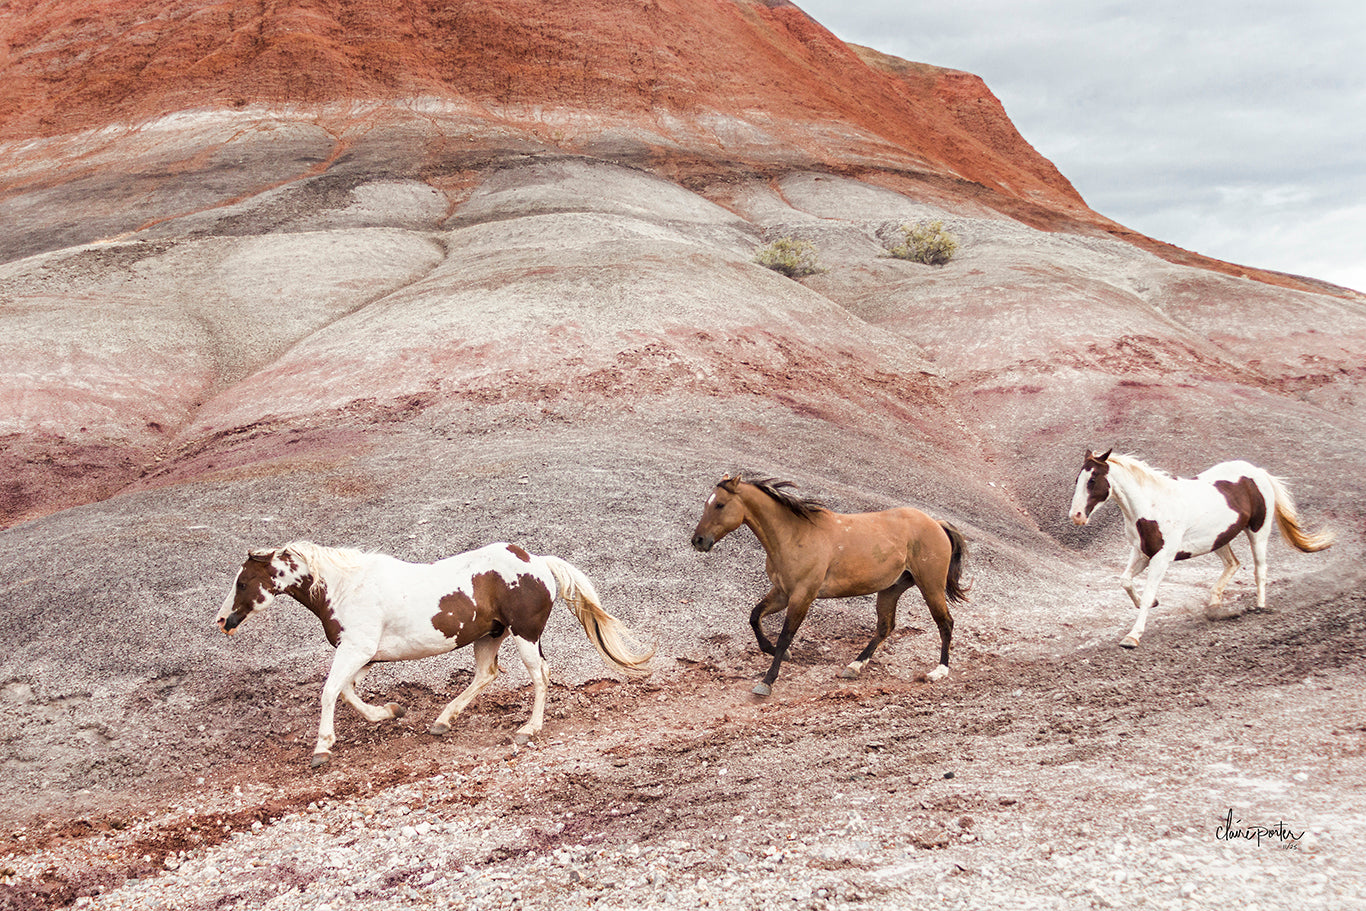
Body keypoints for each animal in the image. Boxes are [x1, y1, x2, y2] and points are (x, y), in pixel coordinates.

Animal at [215, 538, 652, 764]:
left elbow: (329, 692)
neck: (345, 589)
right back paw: (443, 721)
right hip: (489, 635)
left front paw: (322, 747)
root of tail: (538, 562)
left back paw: (528, 729)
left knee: (540, 676)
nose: (222, 621)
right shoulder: (364, 656)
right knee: (486, 675)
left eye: (242, 582)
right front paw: (389, 712)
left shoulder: (355, 650)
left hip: (524, 635)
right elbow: (348, 692)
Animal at [688, 478, 967, 699]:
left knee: (945, 623)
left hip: (930, 585)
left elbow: (785, 636)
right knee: (885, 627)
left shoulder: (802, 596)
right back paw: (854, 667)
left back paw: (938, 671)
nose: (698, 541)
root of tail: (937, 523)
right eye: (707, 503)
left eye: (720, 504)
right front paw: (776, 653)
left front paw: (767, 682)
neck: (794, 535)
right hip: (891, 589)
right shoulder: (781, 593)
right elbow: (755, 616)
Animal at [1065, 447, 1333, 647]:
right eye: (1078, 479)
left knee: (1260, 570)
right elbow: (1125, 581)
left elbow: (1148, 591)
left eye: (1092, 479)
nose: (1076, 516)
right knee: (1233, 564)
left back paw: (1259, 607)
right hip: (1219, 539)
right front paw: (1149, 604)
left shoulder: (1162, 557)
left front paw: (1133, 636)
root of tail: (1258, 473)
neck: (1151, 506)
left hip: (1258, 532)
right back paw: (1215, 607)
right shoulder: (1141, 553)